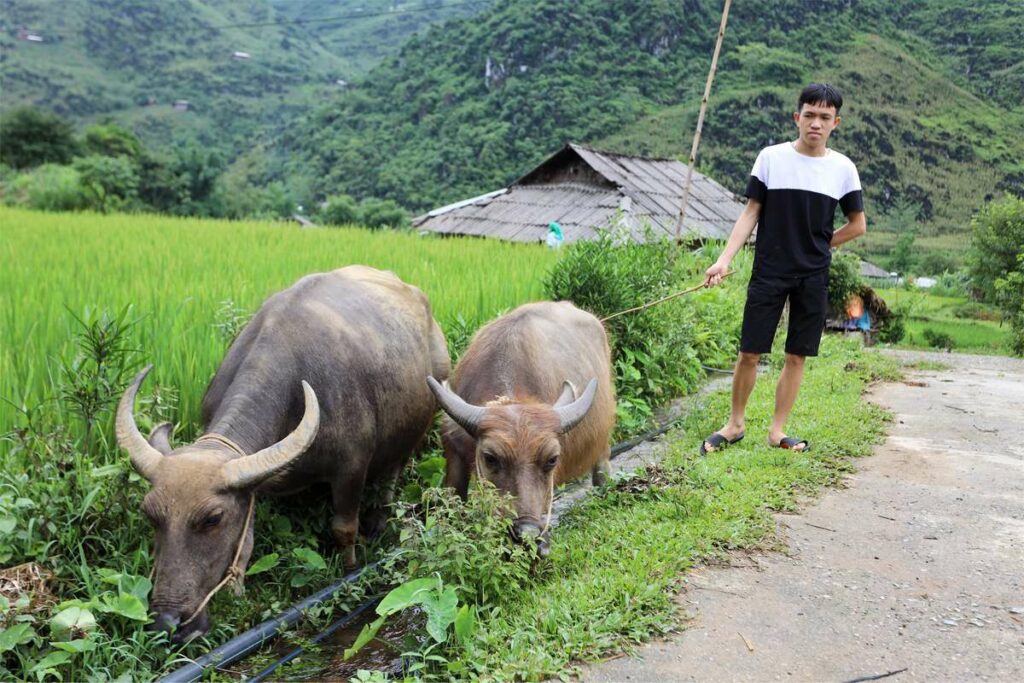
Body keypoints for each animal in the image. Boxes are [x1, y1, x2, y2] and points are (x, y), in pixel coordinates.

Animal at [115, 266, 448, 643]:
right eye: (150, 514)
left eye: (212, 519)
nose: (167, 622)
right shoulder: (249, 482)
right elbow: (246, 541)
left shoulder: (351, 468)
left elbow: (344, 528)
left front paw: (349, 569)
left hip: (420, 425)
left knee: (393, 469)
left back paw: (379, 519)